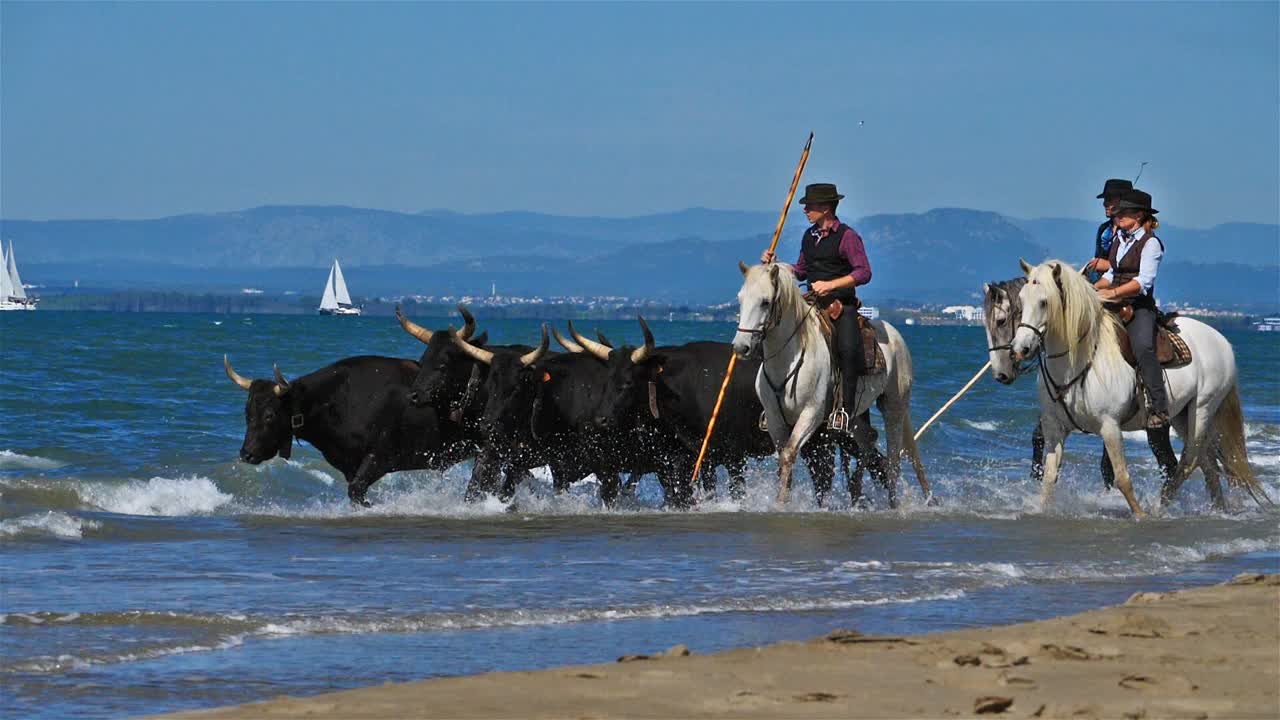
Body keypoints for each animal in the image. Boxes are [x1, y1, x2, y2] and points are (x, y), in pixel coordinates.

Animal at [224, 353, 476, 504]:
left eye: (269, 415)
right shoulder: (349, 465)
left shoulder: (380, 457)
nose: (246, 454)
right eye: (247, 412)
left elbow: (356, 491)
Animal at [732, 262, 931, 504]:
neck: (789, 359)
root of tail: (896, 336)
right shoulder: (774, 418)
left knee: (893, 461)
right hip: (855, 413)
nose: (740, 347)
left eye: (765, 301)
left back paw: (892, 502)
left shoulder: (811, 414)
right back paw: (855, 489)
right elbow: (783, 458)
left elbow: (789, 454)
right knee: (868, 440)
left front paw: (780, 504)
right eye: (740, 299)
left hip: (894, 406)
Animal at [1008, 257, 1269, 515]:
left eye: (1044, 302)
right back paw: (1217, 508)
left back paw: (1160, 506)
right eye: (1021, 299)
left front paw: (1140, 515)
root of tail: (1222, 340)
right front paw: (1042, 509)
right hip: (1181, 415)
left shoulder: (1110, 426)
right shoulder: (1054, 426)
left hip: (1203, 407)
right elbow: (1049, 476)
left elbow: (1122, 476)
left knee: (1190, 460)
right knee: (1206, 460)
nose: (1020, 349)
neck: (1076, 361)